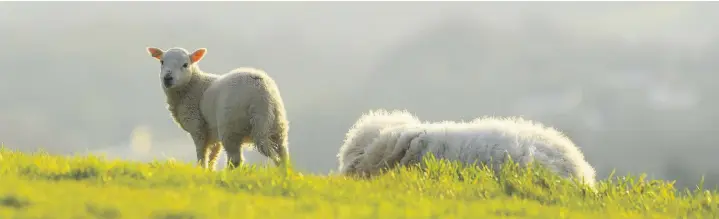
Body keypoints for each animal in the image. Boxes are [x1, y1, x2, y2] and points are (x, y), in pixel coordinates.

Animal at [143, 46, 290, 170]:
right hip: (277, 126)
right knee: (283, 155)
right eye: (162, 62)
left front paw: (201, 170)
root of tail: (261, 95)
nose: (168, 78)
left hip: (231, 128)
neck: (192, 86)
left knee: (235, 160)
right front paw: (210, 172)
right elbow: (213, 156)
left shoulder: (197, 126)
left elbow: (202, 153)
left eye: (185, 65)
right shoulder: (212, 131)